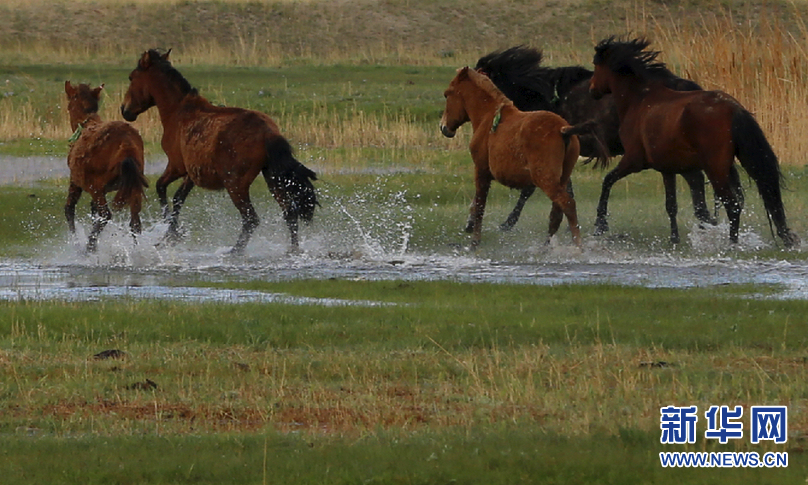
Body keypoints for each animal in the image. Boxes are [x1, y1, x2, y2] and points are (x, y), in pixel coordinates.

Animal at [64, 81, 149, 251]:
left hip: (96, 188)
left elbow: (69, 209)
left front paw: (76, 242)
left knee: (106, 215)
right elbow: (93, 211)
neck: (86, 124)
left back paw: (89, 247)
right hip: (134, 187)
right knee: (135, 223)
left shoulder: (76, 182)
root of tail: (126, 145)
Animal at [120, 48, 316, 253]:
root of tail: (268, 133)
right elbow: (178, 198)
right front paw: (170, 236)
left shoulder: (176, 166)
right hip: (272, 178)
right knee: (289, 212)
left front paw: (172, 234)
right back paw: (292, 251)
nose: (124, 110)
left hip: (236, 185)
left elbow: (161, 188)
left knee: (251, 219)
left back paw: (234, 252)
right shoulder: (191, 173)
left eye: (131, 77)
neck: (179, 111)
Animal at [438, 66, 604, 248]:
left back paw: (577, 246)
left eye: (447, 94)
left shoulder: (481, 171)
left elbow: (480, 205)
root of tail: (563, 130)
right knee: (556, 213)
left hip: (545, 179)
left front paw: (475, 241)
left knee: (567, 205)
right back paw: (546, 247)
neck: (489, 118)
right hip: (562, 178)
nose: (444, 127)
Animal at [474, 45, 732, 242]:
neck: (547, 98)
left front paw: (508, 223)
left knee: (695, 179)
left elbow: (531, 189)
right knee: (695, 180)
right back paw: (704, 221)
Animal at [588, 37, 800, 248]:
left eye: (596, 65)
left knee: (732, 204)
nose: (592, 90)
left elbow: (607, 181)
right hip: (727, 167)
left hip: (716, 171)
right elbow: (672, 205)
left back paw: (732, 244)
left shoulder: (634, 161)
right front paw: (675, 238)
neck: (640, 100)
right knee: (738, 202)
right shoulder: (670, 169)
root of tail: (734, 108)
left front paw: (600, 226)